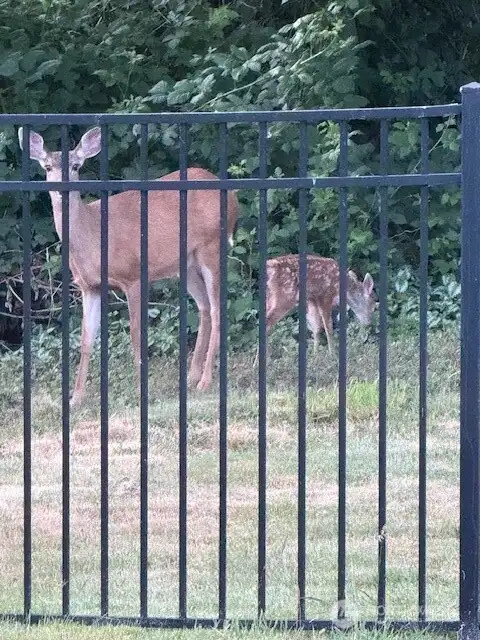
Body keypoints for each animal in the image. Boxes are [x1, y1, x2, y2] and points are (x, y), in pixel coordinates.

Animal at [18, 126, 239, 407]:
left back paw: (205, 381)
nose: (60, 189)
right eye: (47, 167)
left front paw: (141, 389)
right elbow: (86, 339)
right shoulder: (88, 286)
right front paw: (76, 398)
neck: (93, 234)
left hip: (212, 247)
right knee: (205, 306)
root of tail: (233, 198)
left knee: (219, 307)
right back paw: (192, 376)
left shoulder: (132, 276)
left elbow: (135, 334)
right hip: (186, 263)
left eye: (77, 166)